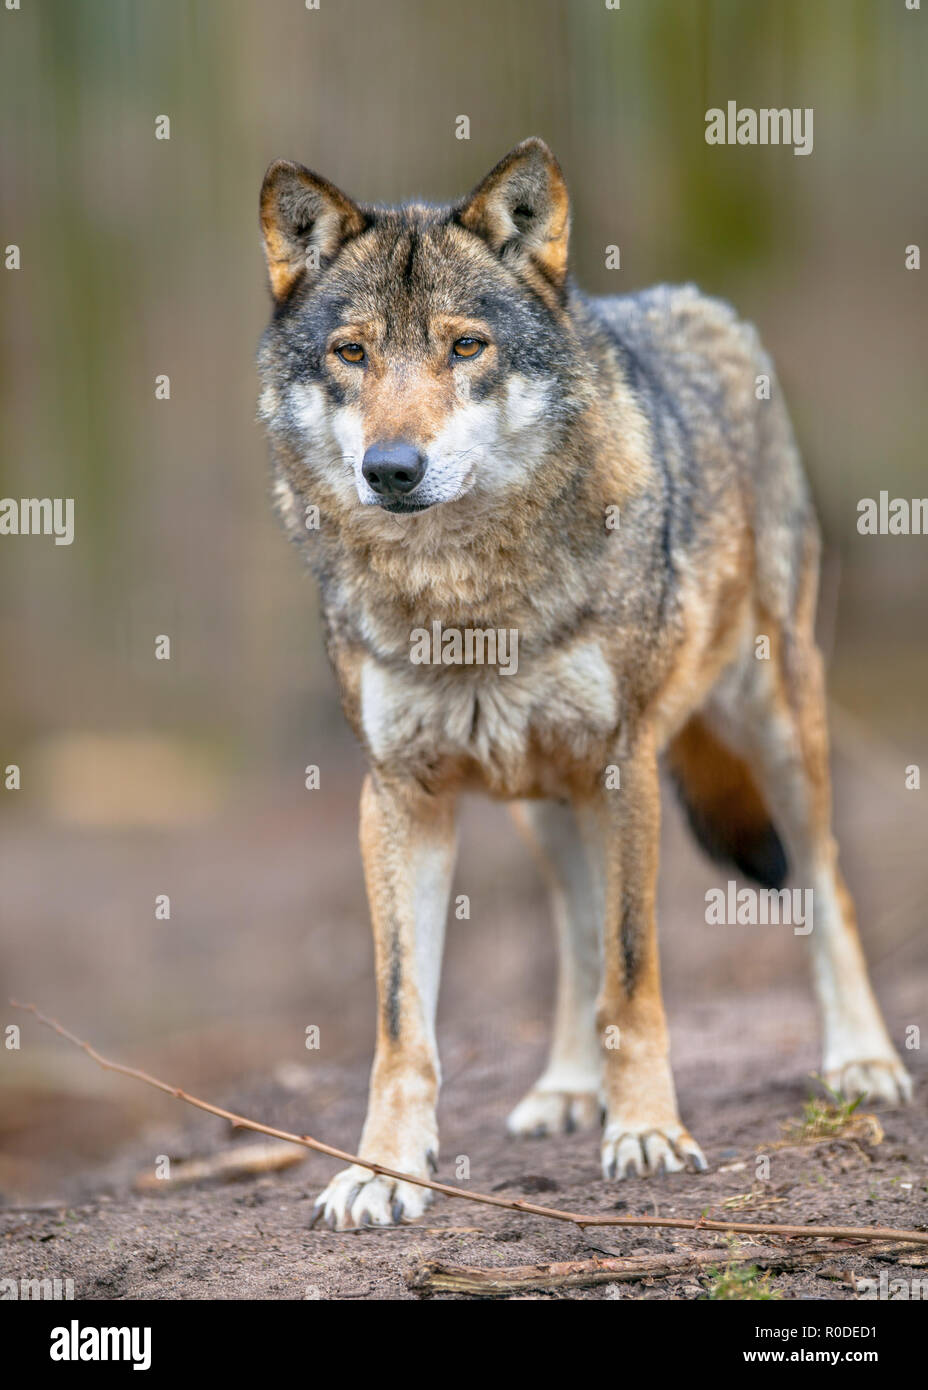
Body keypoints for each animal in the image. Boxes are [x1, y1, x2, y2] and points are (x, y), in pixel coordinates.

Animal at [257, 139, 912, 1229]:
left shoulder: (625, 765)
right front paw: (383, 1170)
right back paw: (566, 1087)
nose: (391, 468)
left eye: (465, 347)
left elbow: (633, 975)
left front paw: (646, 1132)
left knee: (828, 887)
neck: (466, 600)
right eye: (352, 354)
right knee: (571, 931)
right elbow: (402, 1022)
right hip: (545, 802)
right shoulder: (398, 797)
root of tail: (692, 301)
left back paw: (862, 1060)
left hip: (775, 729)